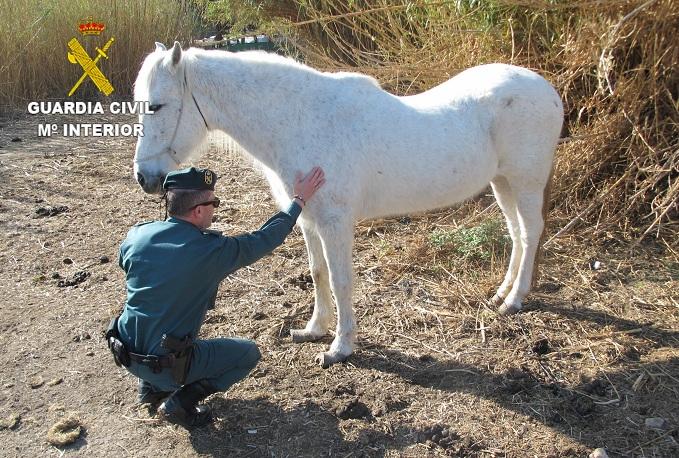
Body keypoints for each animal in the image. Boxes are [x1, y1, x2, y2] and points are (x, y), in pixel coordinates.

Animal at [131, 42, 564, 368]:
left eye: (156, 106)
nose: (145, 178)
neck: (303, 120)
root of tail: (548, 89)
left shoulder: (336, 223)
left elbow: (341, 281)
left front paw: (339, 348)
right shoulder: (308, 220)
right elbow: (318, 273)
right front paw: (314, 329)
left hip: (524, 182)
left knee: (530, 233)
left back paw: (514, 300)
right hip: (502, 183)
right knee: (516, 235)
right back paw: (500, 294)